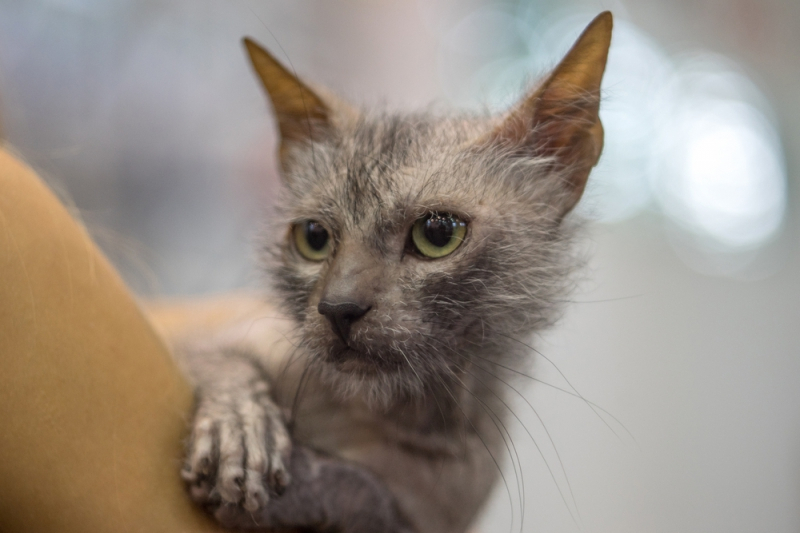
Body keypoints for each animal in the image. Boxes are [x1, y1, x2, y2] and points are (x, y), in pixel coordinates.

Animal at [175, 11, 612, 532]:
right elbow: (215, 356)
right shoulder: (200, 335)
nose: (338, 308)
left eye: (438, 233)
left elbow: (368, 492)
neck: (386, 413)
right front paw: (239, 431)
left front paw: (302, 485)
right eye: (313, 238)